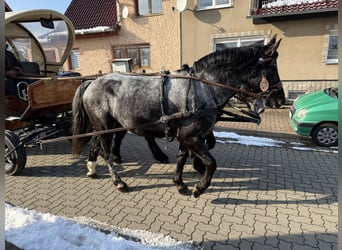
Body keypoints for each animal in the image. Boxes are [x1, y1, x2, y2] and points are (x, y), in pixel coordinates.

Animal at [71, 35, 284, 197]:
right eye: (271, 69)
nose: (279, 100)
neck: (203, 87)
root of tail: (93, 82)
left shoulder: (187, 136)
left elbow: (182, 157)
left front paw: (180, 184)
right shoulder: (191, 136)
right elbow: (211, 162)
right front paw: (199, 187)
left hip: (113, 124)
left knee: (100, 144)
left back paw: (92, 168)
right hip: (105, 126)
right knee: (105, 150)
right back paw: (118, 181)